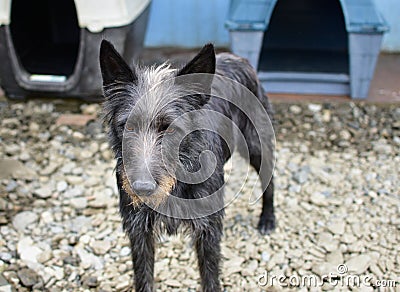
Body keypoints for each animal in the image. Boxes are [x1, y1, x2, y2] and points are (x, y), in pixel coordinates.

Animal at [100, 39, 276, 292]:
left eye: (171, 129)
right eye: (128, 127)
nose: (142, 188)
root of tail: (236, 57)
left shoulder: (208, 230)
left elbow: (210, 277)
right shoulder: (138, 230)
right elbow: (144, 278)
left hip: (257, 146)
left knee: (269, 179)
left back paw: (268, 219)